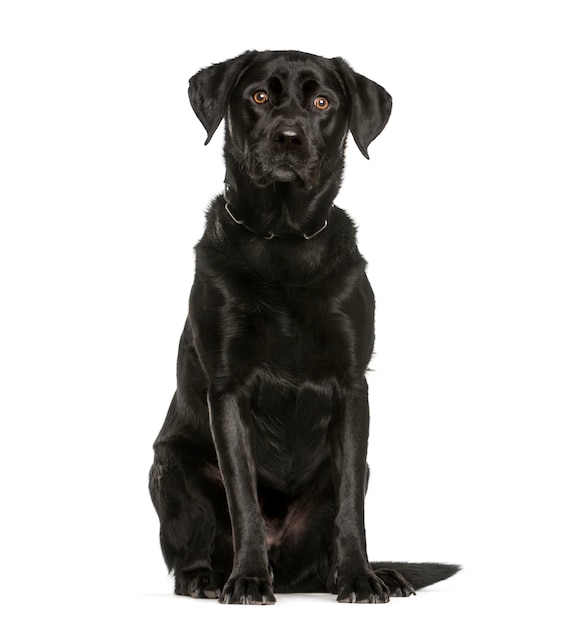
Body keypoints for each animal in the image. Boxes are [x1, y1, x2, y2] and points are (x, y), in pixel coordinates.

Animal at [149, 51, 460, 604]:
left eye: (322, 103)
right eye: (258, 96)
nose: (289, 137)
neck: (284, 240)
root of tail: (294, 573)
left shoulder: (352, 387)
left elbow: (351, 508)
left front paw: (360, 578)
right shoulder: (227, 389)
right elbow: (244, 499)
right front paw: (248, 579)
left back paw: (375, 573)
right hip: (168, 467)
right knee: (190, 550)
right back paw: (206, 577)